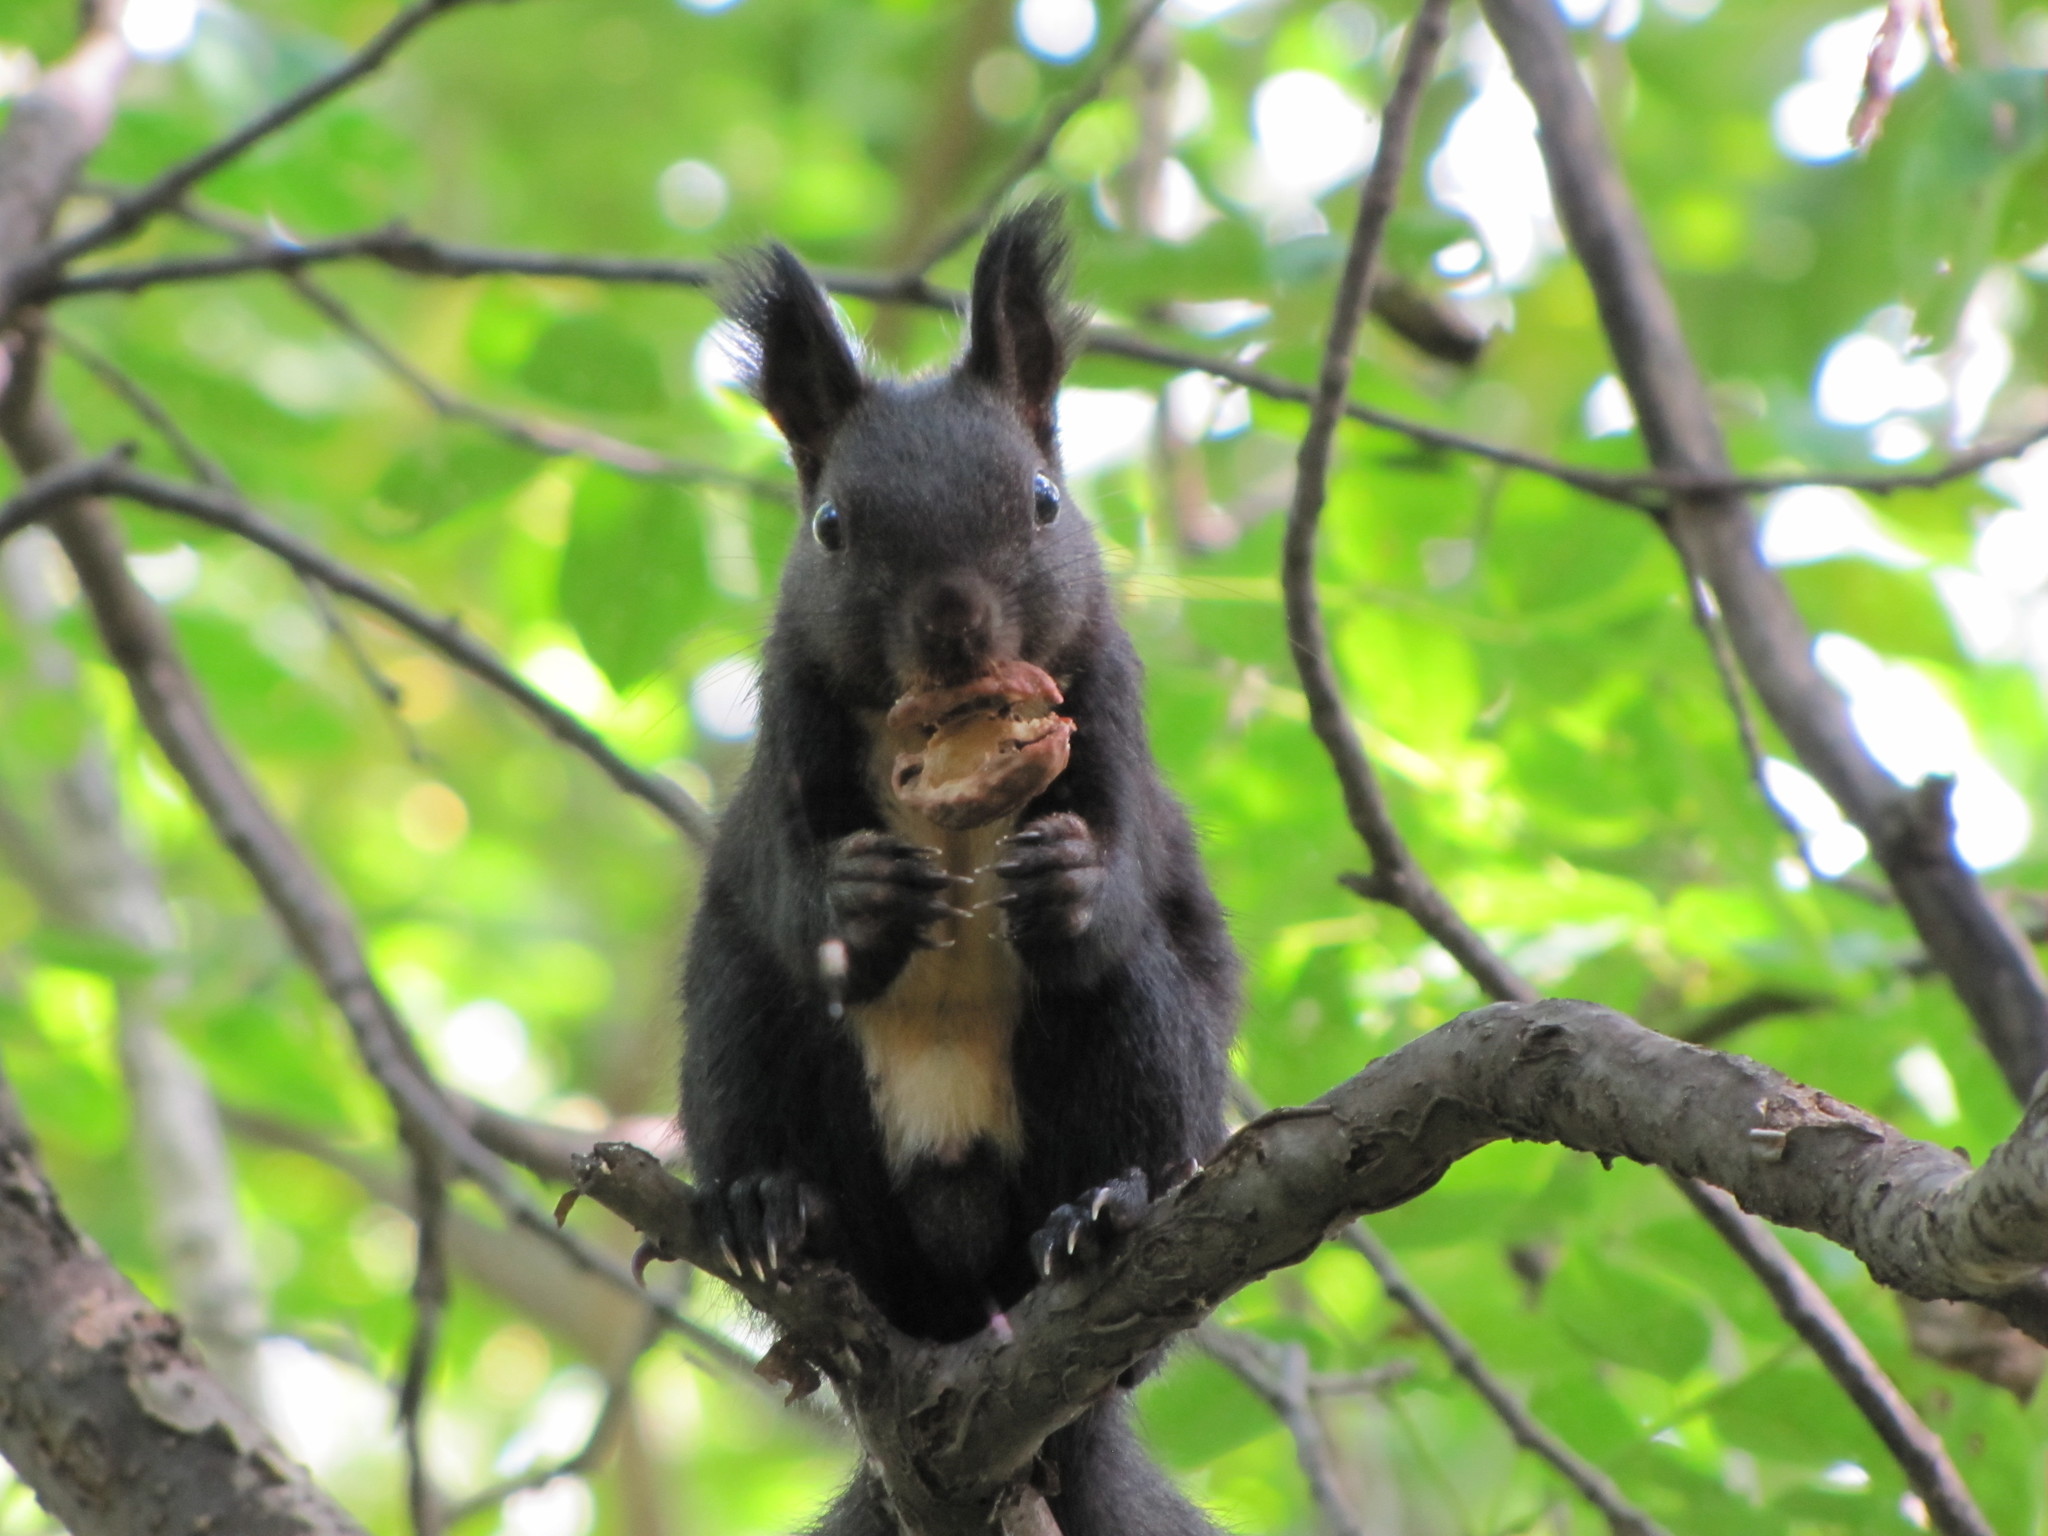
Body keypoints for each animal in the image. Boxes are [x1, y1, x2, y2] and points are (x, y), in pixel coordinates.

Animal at [679, 201, 1236, 1531]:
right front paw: (861, 899)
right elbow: (781, 883)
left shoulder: (1112, 709)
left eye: (1042, 501)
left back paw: (1100, 1215)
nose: (951, 620)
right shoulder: (785, 727)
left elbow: (1128, 867)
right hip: (747, 1046)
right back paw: (765, 1206)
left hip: (1144, 1064)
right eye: (829, 526)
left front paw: (1069, 883)